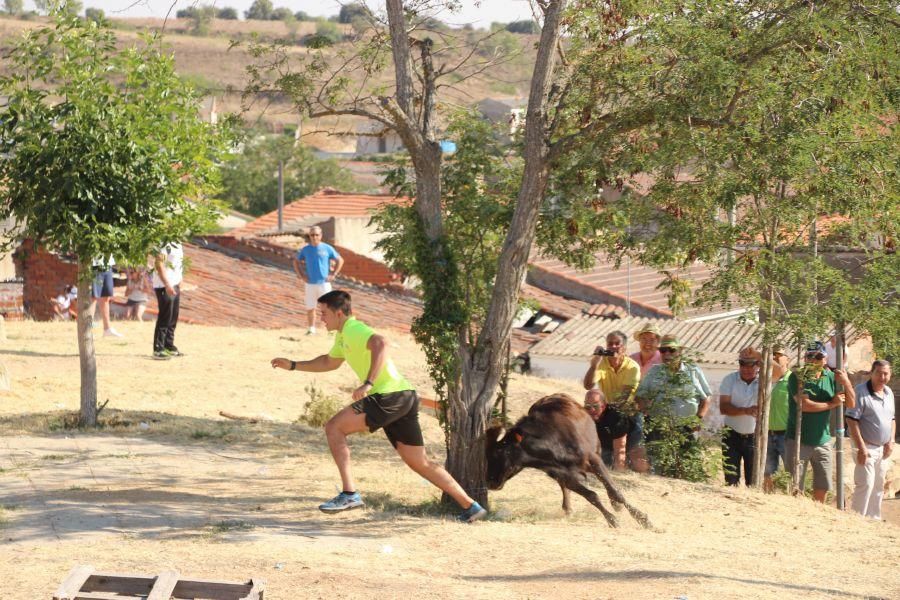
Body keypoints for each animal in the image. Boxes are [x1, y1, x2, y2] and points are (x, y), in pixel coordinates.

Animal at [488, 394, 652, 524]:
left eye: (502, 452)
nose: (491, 482)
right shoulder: (561, 474)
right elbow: (591, 495)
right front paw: (612, 519)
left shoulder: (594, 460)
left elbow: (615, 492)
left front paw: (643, 519)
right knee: (566, 488)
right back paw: (568, 508)